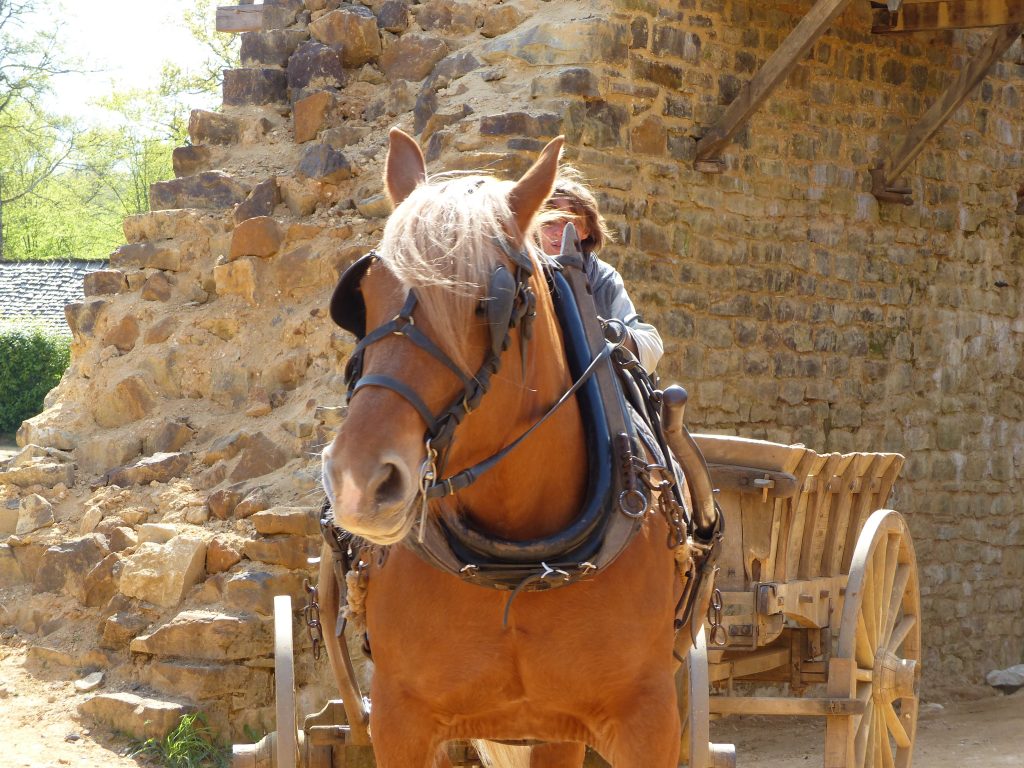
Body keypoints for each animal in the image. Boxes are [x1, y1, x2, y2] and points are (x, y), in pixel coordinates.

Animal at [319, 129, 700, 765]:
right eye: (364, 296)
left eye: (485, 302)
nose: (357, 480)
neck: (519, 565)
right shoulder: (399, 722)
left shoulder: (649, 723)